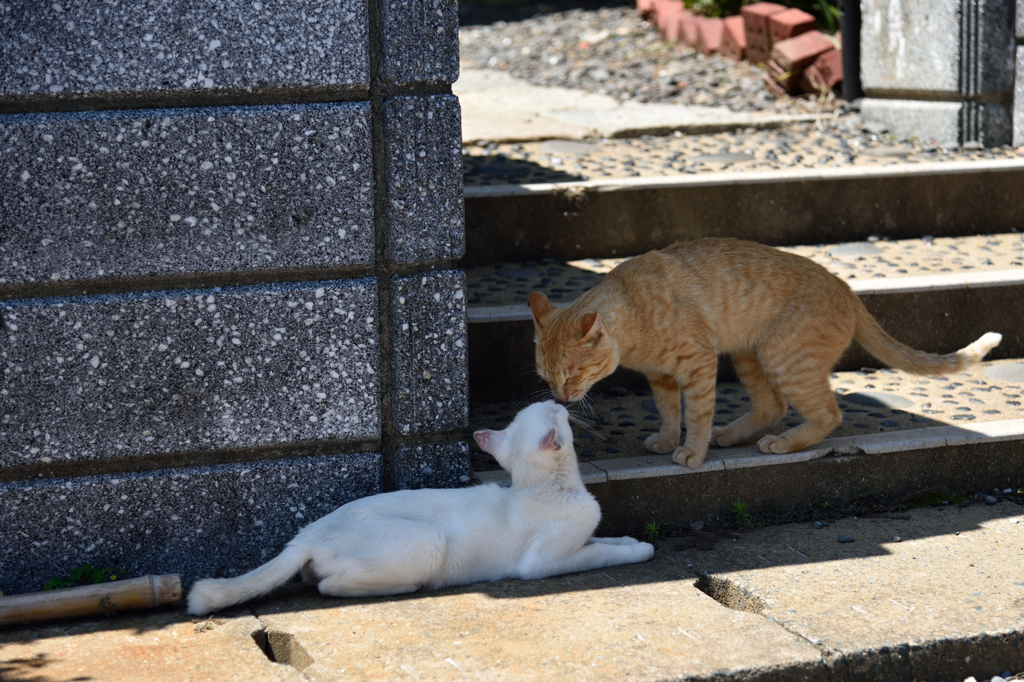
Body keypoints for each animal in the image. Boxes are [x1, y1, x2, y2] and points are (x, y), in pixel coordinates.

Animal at [187, 395, 651, 614]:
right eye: (551, 412)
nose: (557, 400)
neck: (545, 488)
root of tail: (308, 534)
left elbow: (604, 539)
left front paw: (628, 539)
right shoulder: (542, 564)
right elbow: (599, 554)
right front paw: (641, 550)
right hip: (427, 541)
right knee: (326, 585)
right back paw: (409, 587)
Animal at [532, 237, 1003, 466]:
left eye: (572, 377)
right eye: (547, 380)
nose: (562, 398)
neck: (632, 313)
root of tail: (846, 287)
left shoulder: (697, 366)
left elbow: (696, 415)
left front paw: (692, 452)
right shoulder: (662, 377)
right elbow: (668, 411)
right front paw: (667, 439)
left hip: (782, 357)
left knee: (827, 414)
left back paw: (783, 442)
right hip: (751, 356)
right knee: (772, 405)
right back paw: (733, 434)